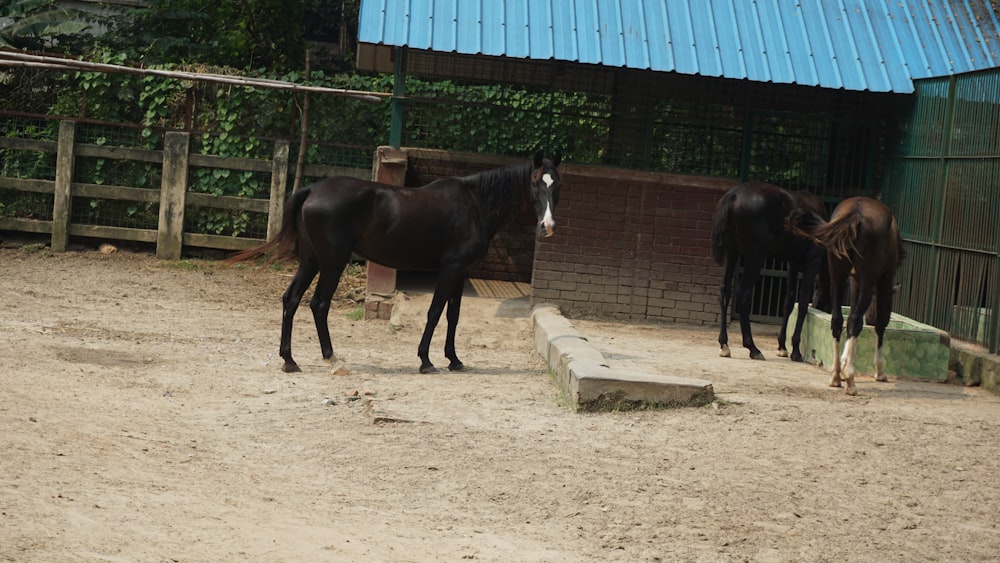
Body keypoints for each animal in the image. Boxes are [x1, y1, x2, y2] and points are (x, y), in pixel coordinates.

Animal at [229, 152, 564, 376]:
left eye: (556, 184)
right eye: (535, 182)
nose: (548, 226)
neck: (474, 204)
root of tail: (312, 190)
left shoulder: (460, 273)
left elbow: (453, 316)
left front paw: (454, 359)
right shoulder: (450, 269)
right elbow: (434, 313)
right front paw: (426, 360)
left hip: (311, 261)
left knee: (291, 299)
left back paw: (290, 360)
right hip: (332, 262)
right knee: (319, 304)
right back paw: (332, 358)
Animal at [712, 183, 828, 364]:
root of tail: (735, 194)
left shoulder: (793, 264)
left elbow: (788, 302)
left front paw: (782, 346)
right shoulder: (813, 262)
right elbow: (802, 303)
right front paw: (796, 350)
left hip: (731, 252)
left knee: (725, 290)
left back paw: (724, 344)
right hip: (755, 256)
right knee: (743, 294)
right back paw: (753, 347)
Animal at [788, 198, 908, 396]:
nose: (870, 317)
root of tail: (856, 214)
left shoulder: (854, 281)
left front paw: (844, 364)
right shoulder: (883, 280)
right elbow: (880, 324)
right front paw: (880, 371)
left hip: (837, 276)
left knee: (837, 320)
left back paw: (837, 376)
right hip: (868, 279)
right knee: (854, 321)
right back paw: (850, 381)